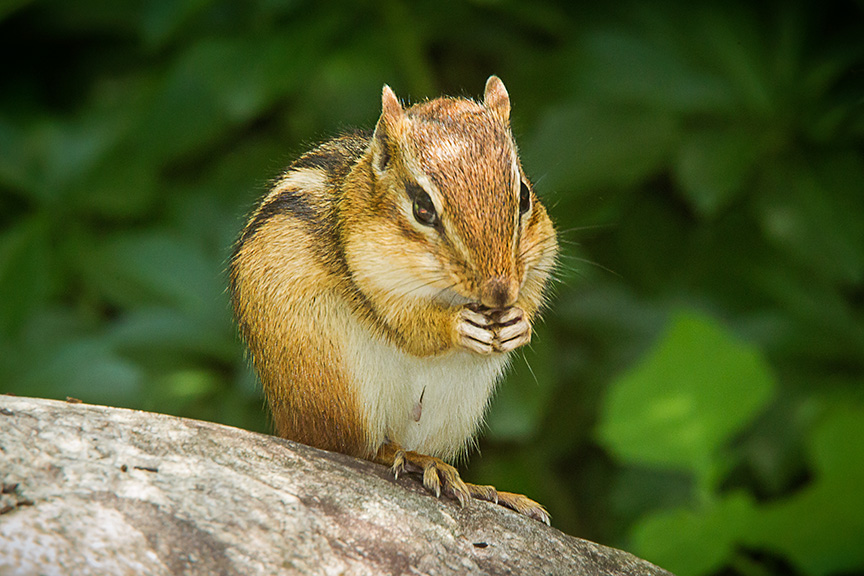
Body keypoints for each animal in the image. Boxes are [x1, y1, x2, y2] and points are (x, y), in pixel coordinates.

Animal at [229, 76, 558, 524]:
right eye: (422, 208)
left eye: (523, 196)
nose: (500, 292)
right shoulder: (370, 272)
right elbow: (407, 325)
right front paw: (456, 326)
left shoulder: (543, 251)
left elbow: (536, 286)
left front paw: (519, 321)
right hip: (334, 384)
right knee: (357, 449)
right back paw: (417, 460)